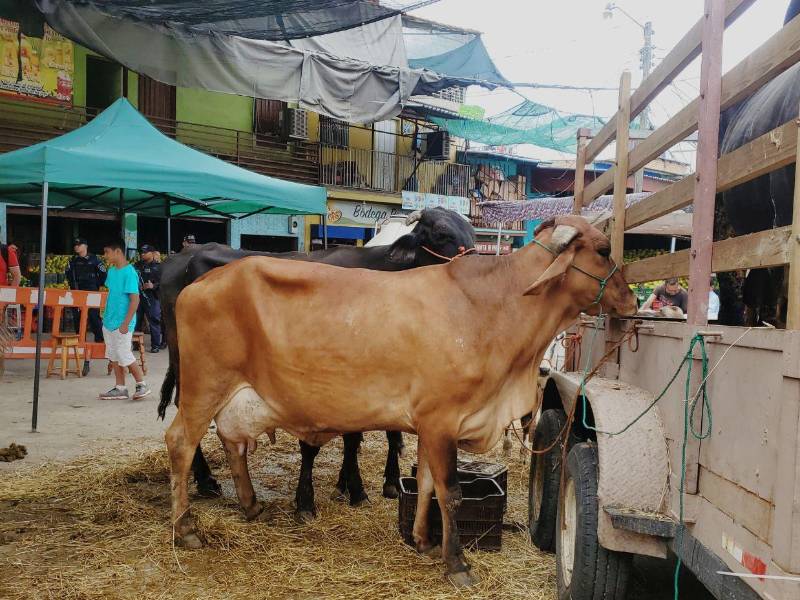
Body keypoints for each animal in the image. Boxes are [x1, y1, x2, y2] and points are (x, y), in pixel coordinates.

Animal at [156, 207, 476, 519]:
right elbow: (331, 440)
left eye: (472, 233)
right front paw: (317, 498)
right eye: (441, 233)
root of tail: (183, 257)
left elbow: (368, 434)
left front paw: (357, 485)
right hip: (192, 365)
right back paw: (205, 480)